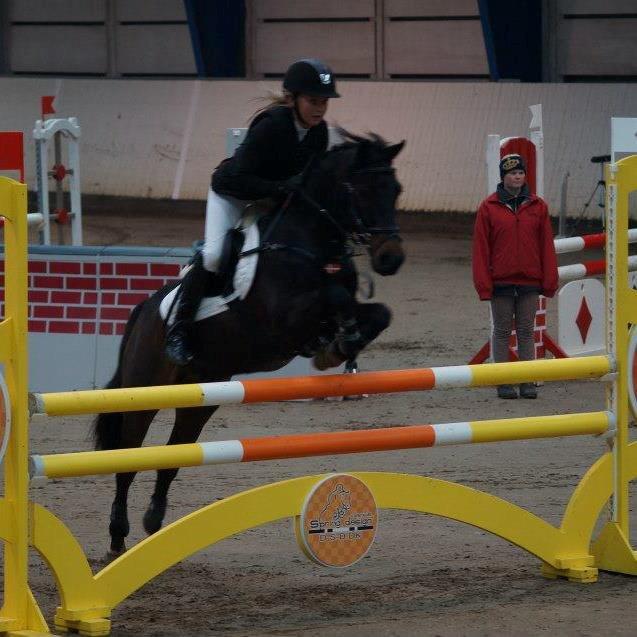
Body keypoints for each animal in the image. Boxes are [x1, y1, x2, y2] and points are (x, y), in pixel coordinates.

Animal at [92, 129, 404, 556]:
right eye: (363, 189)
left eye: (397, 190)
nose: (392, 258)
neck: (309, 239)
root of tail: (143, 311)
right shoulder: (286, 317)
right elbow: (334, 297)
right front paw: (336, 344)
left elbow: (378, 312)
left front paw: (342, 344)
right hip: (144, 391)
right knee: (127, 459)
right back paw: (117, 536)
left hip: (200, 398)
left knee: (172, 457)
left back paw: (153, 524)